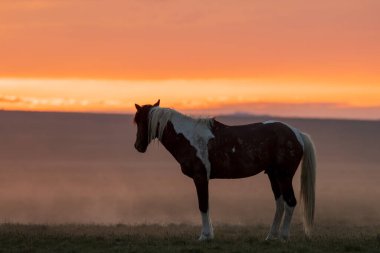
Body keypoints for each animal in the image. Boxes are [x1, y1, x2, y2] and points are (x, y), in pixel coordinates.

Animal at [134, 100, 318, 240]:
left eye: (140, 121)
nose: (138, 146)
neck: (190, 138)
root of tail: (297, 134)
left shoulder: (200, 177)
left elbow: (203, 205)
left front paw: (205, 236)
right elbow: (206, 205)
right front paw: (208, 234)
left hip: (284, 176)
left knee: (290, 202)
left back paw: (283, 237)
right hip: (273, 175)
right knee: (280, 203)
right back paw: (271, 236)